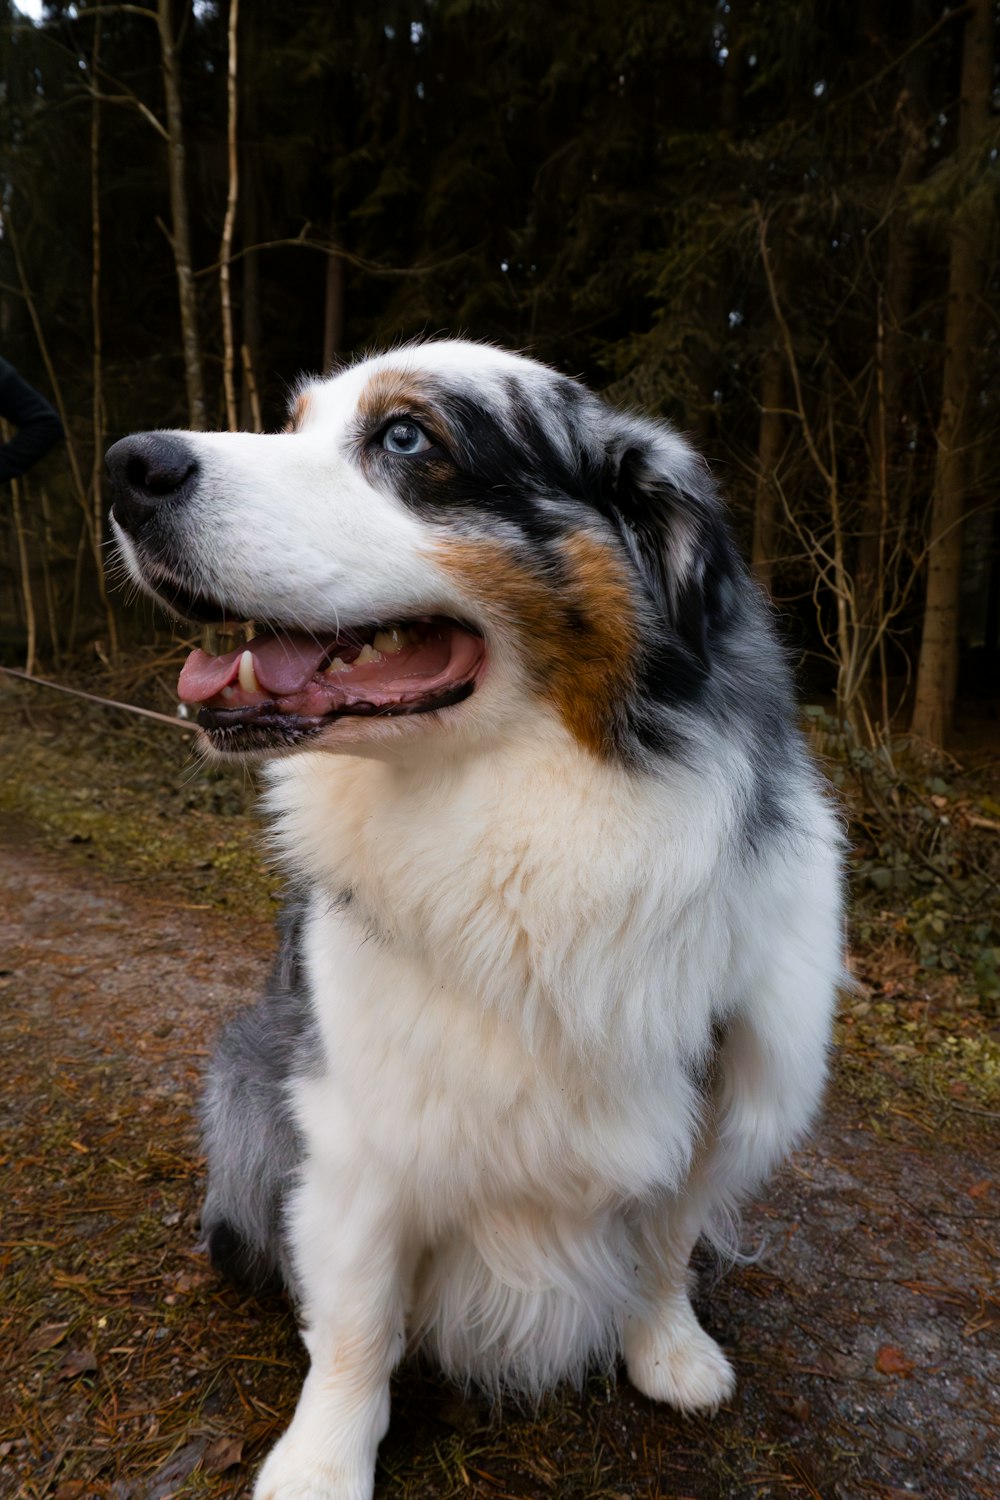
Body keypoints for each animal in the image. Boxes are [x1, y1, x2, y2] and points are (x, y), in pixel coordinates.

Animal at [107, 340, 845, 1500]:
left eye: (407, 437)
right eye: (293, 423)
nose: (127, 465)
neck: (528, 826)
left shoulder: (718, 1092)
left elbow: (666, 1241)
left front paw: (666, 1348)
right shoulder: (360, 1122)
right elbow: (358, 1319)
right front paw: (323, 1461)